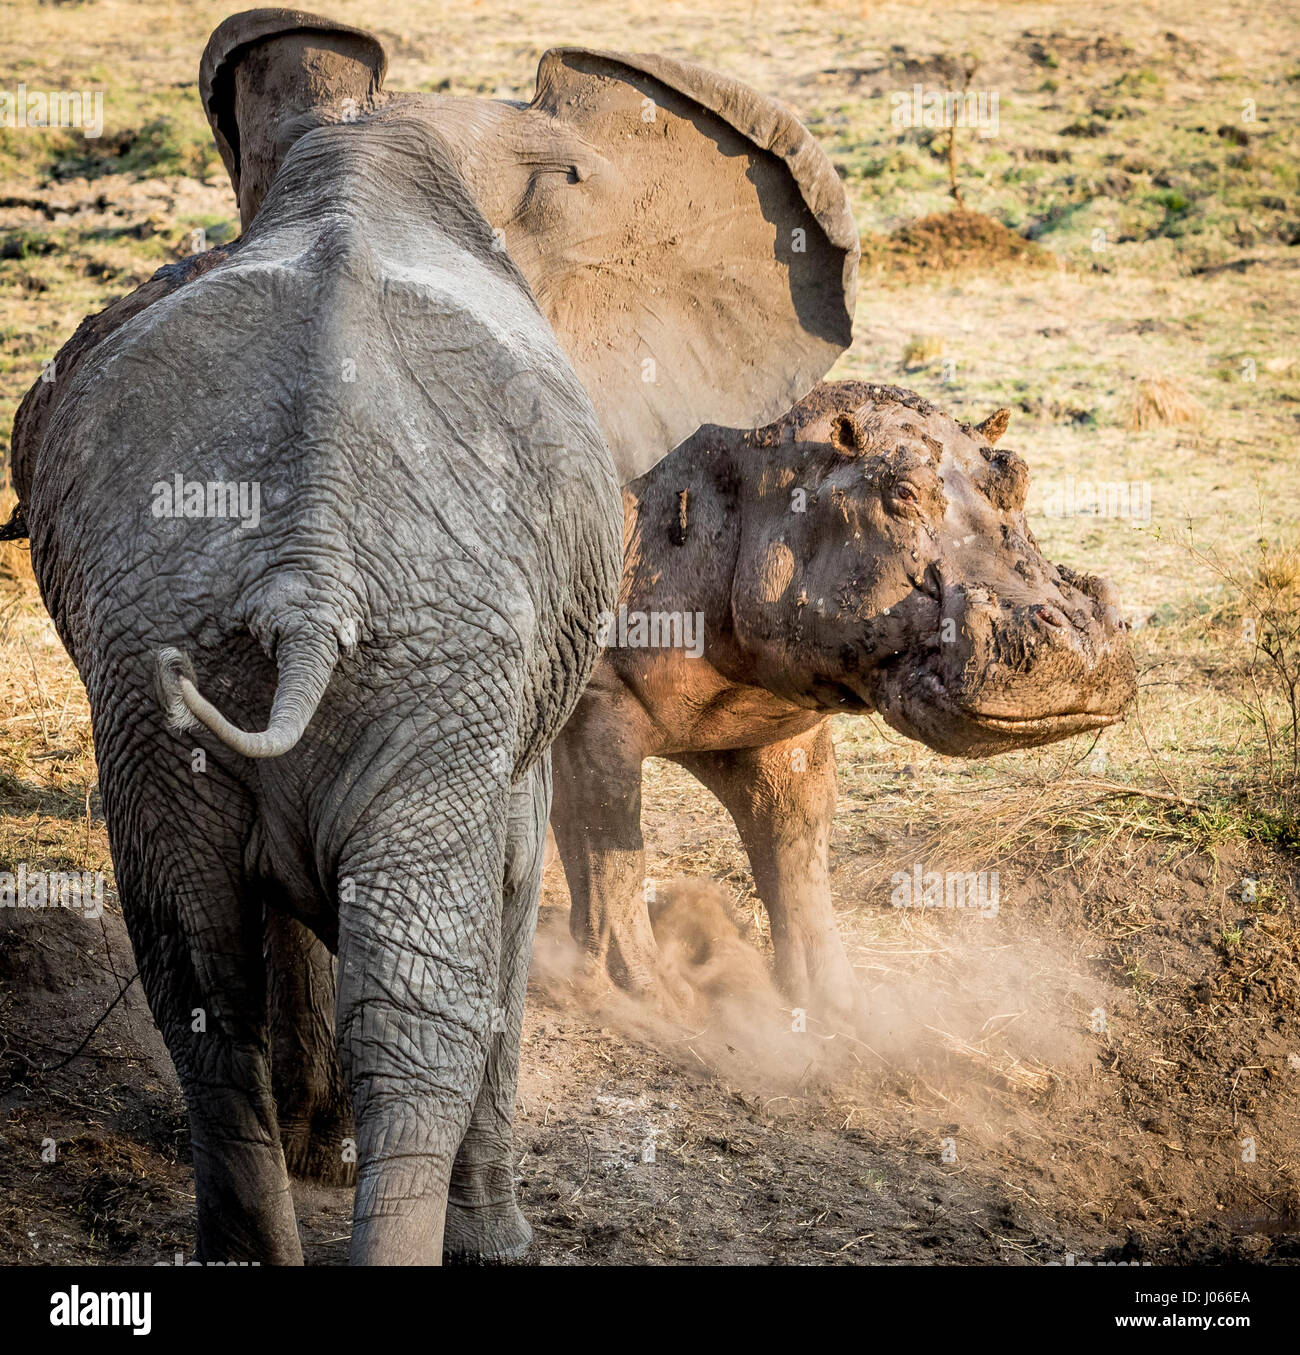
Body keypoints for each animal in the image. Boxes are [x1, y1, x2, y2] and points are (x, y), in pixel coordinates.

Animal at [7, 5, 862, 1262]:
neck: (384, 154)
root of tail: (305, 572)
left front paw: (323, 1150)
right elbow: (509, 879)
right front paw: (487, 1228)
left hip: (169, 671)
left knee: (199, 965)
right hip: (433, 666)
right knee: (421, 994)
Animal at [550, 382, 1138, 1018]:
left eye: (1017, 473)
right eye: (900, 491)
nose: (1082, 634)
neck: (750, 487)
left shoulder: (780, 731)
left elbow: (796, 851)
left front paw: (838, 1003)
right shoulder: (595, 710)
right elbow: (608, 846)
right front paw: (653, 1000)